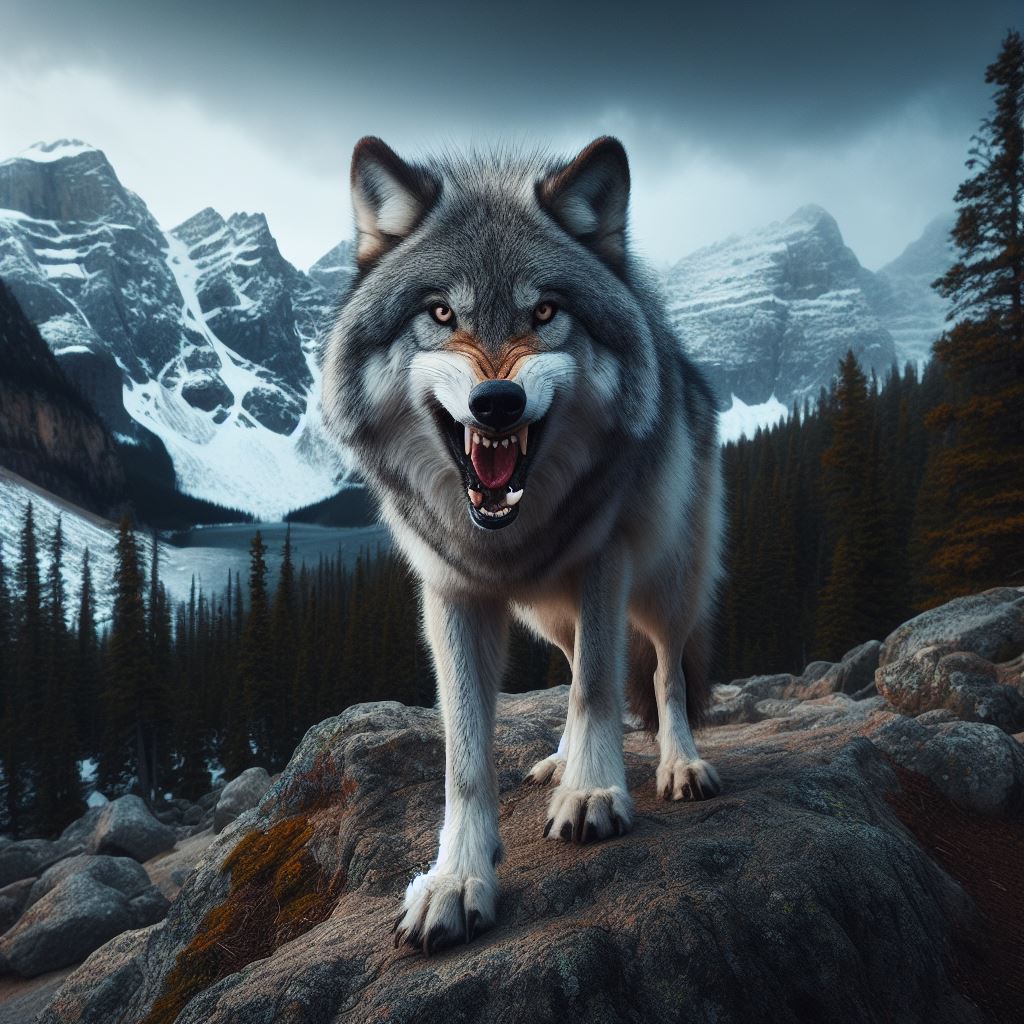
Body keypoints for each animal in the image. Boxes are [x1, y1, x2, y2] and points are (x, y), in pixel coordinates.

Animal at [322, 136, 724, 955]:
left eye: (544, 312)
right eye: (441, 312)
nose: (497, 403)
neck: (510, 532)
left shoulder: (605, 560)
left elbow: (599, 687)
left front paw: (596, 793)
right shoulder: (451, 595)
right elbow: (466, 757)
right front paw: (456, 881)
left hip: (667, 581)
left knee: (663, 672)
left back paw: (677, 765)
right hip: (549, 614)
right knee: (572, 670)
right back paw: (560, 761)